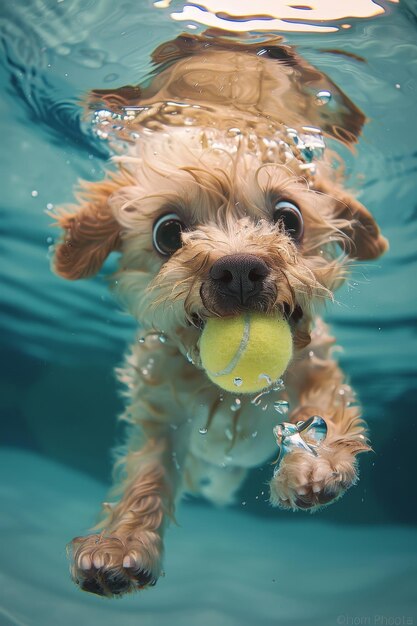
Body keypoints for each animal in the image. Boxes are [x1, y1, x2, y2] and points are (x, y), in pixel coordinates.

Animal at [52, 34, 386, 596]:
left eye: (289, 219)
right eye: (168, 233)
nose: (240, 269)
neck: (231, 394)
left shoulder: (318, 368)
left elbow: (321, 411)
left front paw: (312, 466)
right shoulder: (157, 411)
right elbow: (147, 473)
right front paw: (120, 544)